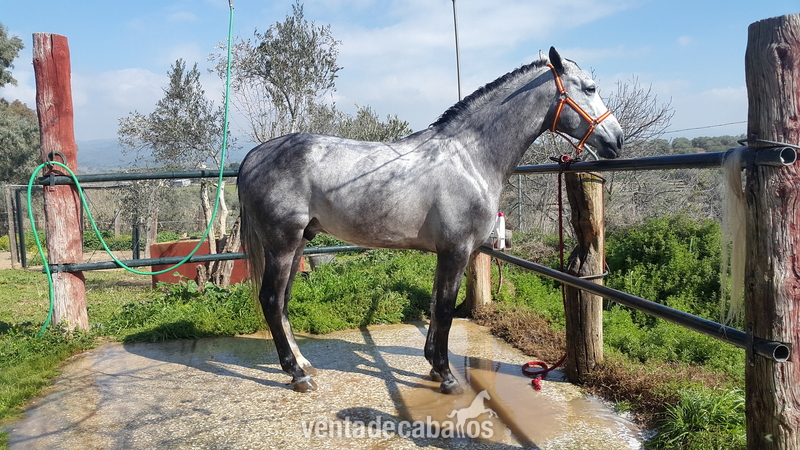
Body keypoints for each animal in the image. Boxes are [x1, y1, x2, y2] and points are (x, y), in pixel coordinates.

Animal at [237, 47, 623, 395]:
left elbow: (438, 306)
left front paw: (435, 367)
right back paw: (297, 375)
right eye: (590, 88)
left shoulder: (447, 252)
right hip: (283, 244)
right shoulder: (456, 250)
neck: (469, 157)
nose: (616, 140)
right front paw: (447, 376)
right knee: (271, 299)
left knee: (283, 301)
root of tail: (254, 155)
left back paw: (303, 363)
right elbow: (445, 309)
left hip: (299, 243)